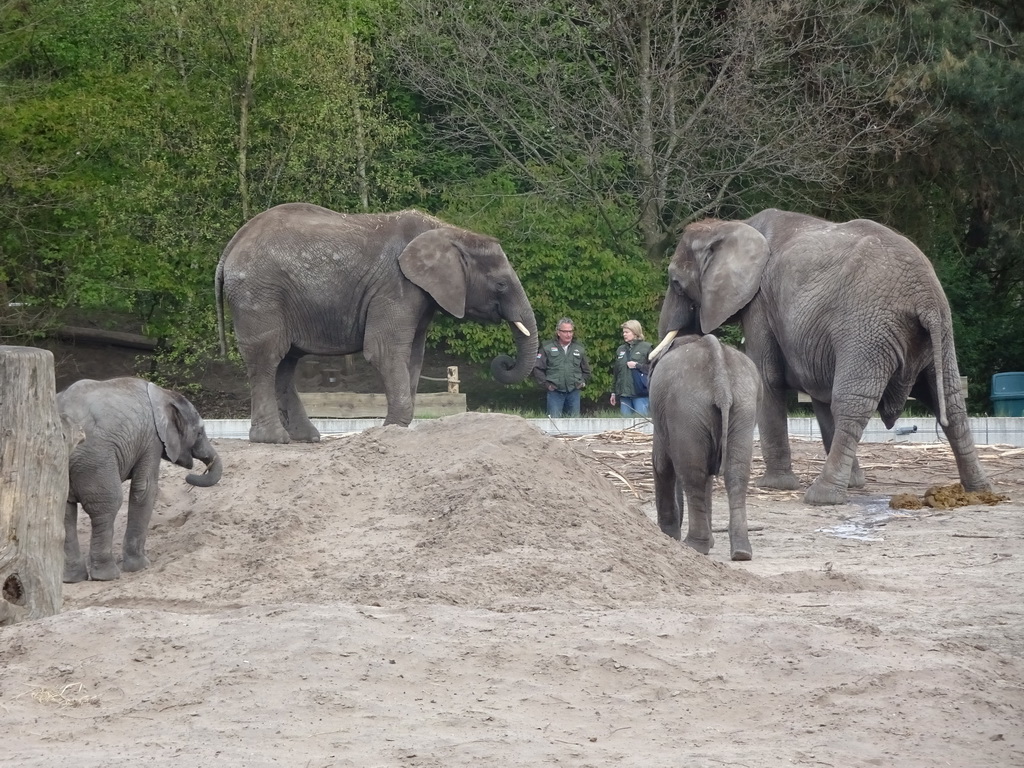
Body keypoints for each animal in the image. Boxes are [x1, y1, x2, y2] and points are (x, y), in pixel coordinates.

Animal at [58, 378, 222, 581]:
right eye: (199, 433)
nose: (188, 477)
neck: (165, 393)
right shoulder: (152, 440)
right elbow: (145, 488)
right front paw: (141, 566)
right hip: (95, 459)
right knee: (107, 506)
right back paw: (107, 576)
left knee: (64, 510)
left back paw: (72, 579)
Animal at [214, 202, 536, 444]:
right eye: (501, 285)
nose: (504, 362)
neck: (449, 232)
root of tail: (230, 247)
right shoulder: (396, 286)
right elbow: (384, 352)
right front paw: (391, 429)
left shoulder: (420, 296)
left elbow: (414, 357)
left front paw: (398, 429)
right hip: (259, 295)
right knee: (268, 358)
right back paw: (273, 439)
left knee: (286, 362)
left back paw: (305, 438)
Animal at [647, 210, 991, 507]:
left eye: (675, 282)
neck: (730, 225)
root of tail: (925, 297)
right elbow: (820, 395)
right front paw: (853, 483)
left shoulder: (760, 303)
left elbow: (768, 379)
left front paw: (774, 485)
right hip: (938, 333)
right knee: (951, 401)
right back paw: (980, 491)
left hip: (866, 330)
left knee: (852, 403)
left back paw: (821, 497)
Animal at [647, 333, 761, 561]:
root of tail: (721, 383)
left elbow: (661, 464)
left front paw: (668, 536)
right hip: (743, 407)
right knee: (736, 473)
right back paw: (741, 552)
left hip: (686, 410)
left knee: (692, 476)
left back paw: (695, 546)